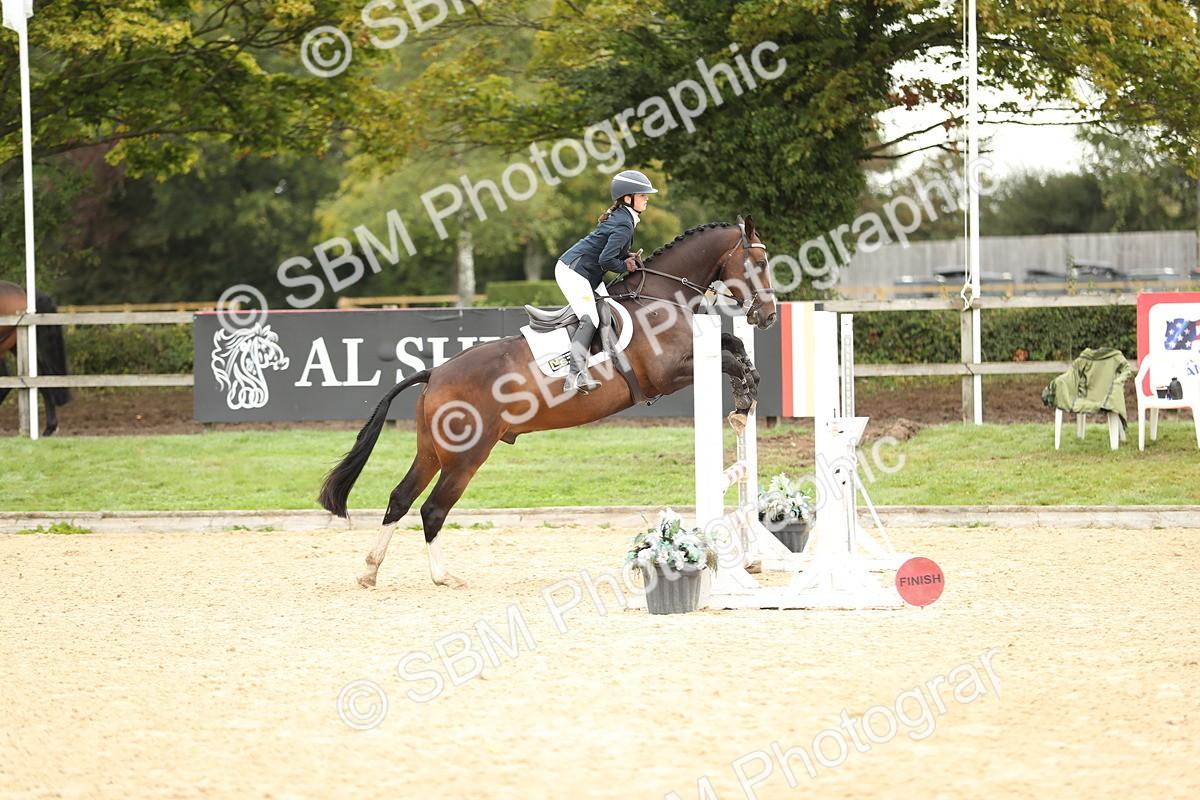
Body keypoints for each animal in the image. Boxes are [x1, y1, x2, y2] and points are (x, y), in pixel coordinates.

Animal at [319, 216, 778, 589]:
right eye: (758, 262)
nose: (768, 316)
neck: (661, 297)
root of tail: (435, 373)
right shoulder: (670, 374)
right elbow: (728, 358)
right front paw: (744, 400)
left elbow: (734, 345)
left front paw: (746, 397)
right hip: (467, 456)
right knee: (432, 509)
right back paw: (442, 577)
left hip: (432, 451)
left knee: (400, 498)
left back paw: (370, 570)